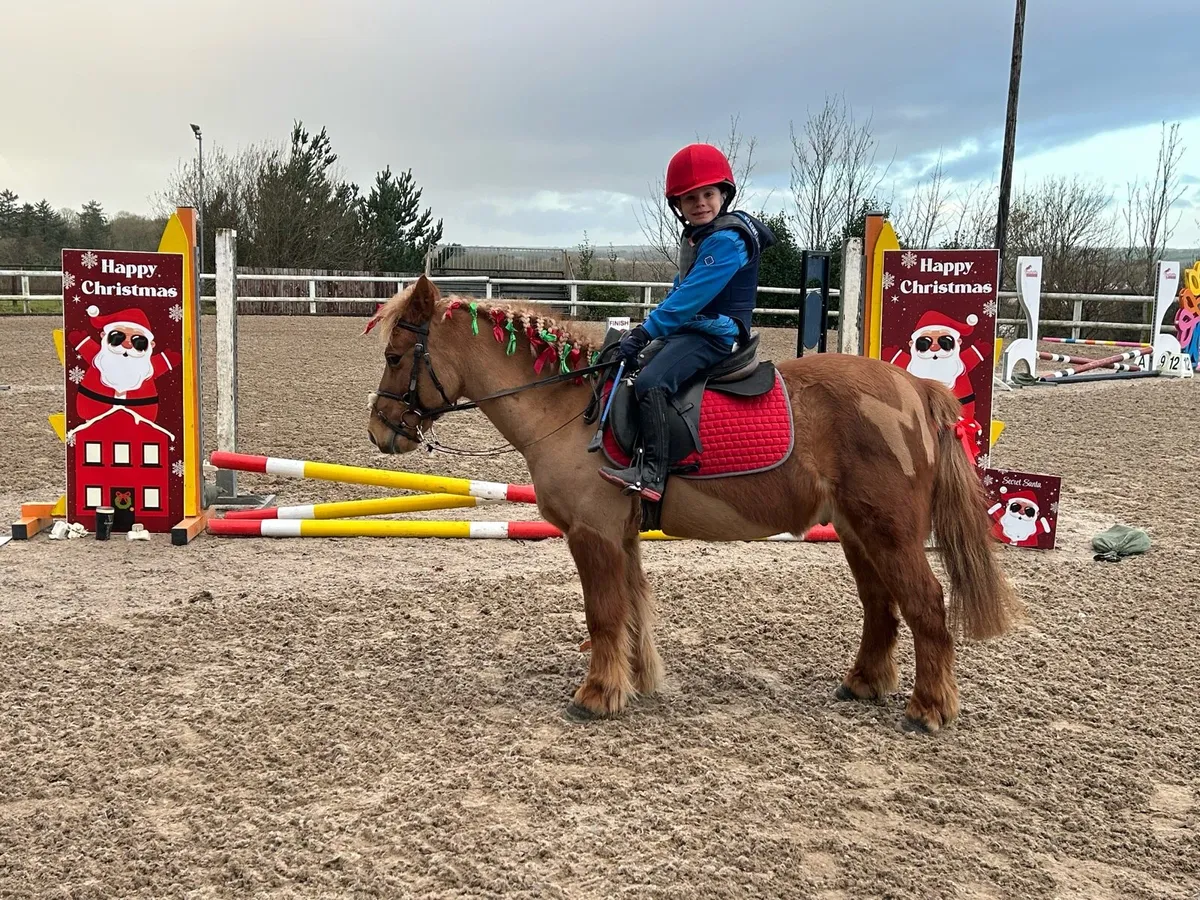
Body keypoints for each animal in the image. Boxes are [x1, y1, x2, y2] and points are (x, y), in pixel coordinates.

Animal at [365, 276, 1021, 733]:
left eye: (396, 357)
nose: (380, 433)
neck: (572, 406)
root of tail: (916, 386)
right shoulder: (622, 534)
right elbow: (632, 607)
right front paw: (636, 679)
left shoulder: (593, 534)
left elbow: (603, 613)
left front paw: (598, 695)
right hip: (859, 532)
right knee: (881, 607)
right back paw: (863, 683)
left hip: (890, 532)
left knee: (926, 606)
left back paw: (929, 709)